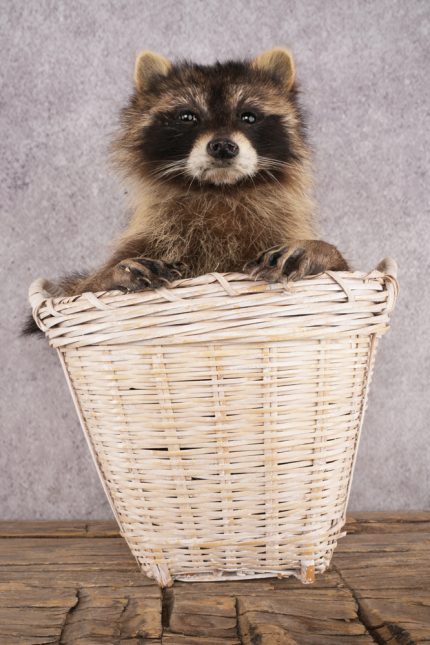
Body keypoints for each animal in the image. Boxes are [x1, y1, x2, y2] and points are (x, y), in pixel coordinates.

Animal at [31, 48, 348, 302]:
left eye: (248, 116)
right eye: (188, 117)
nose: (223, 146)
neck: (220, 190)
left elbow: (344, 268)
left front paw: (322, 252)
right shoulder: (148, 238)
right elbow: (81, 291)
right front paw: (108, 277)